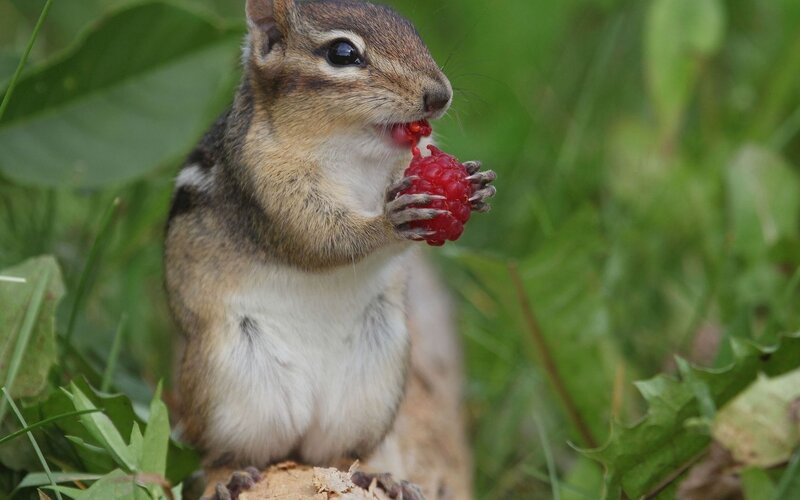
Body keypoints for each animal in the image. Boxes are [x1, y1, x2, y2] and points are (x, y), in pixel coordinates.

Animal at [164, 0, 496, 496]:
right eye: (343, 53)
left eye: (410, 28)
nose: (440, 96)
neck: (353, 149)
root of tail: (301, 435)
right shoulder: (268, 185)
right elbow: (321, 239)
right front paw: (391, 220)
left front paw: (474, 185)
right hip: (227, 386)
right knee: (221, 455)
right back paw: (228, 478)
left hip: (373, 386)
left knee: (341, 454)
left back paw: (380, 475)